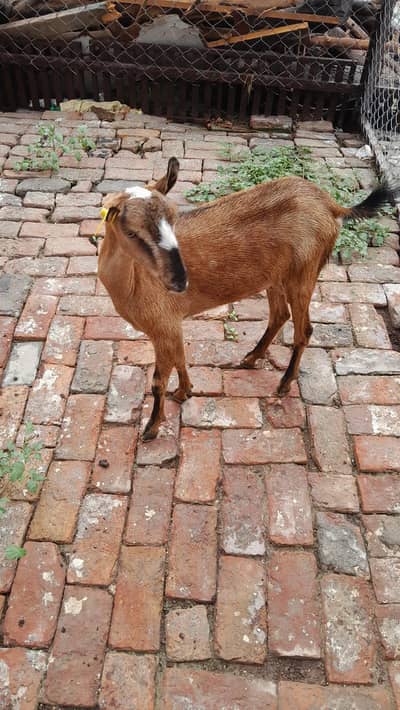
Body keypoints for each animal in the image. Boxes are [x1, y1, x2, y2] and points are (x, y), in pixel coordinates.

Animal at [98, 157, 397, 440]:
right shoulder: (171, 326)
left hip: (304, 273)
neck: (133, 284)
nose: (180, 281)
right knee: (280, 314)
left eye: (173, 219)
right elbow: (180, 358)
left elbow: (159, 380)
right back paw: (251, 358)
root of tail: (332, 205)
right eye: (131, 231)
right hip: (277, 277)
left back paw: (284, 383)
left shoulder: (163, 324)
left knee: (304, 329)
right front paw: (185, 392)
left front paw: (151, 428)